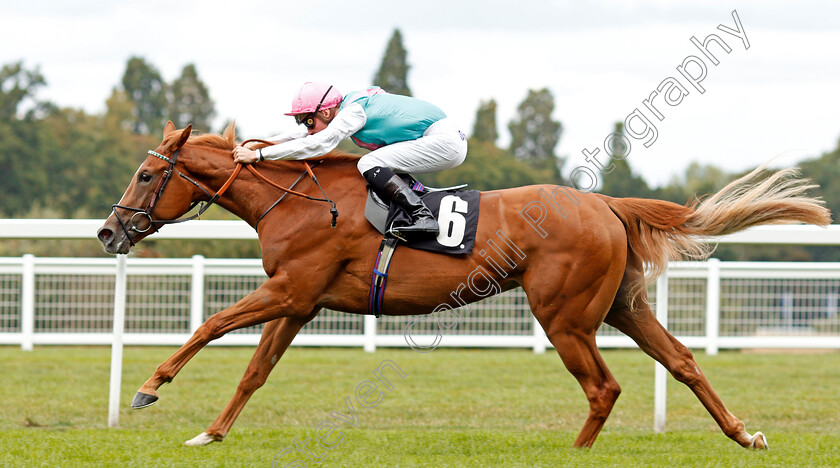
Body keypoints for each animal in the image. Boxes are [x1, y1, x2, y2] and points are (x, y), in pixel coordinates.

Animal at [98, 121, 828, 450]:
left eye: (145, 174)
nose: (109, 232)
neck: (301, 202)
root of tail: (606, 204)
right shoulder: (299, 302)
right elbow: (254, 371)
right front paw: (210, 434)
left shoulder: (289, 291)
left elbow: (209, 324)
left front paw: (149, 387)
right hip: (624, 305)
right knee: (681, 361)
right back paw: (743, 435)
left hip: (564, 315)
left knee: (604, 386)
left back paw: (575, 454)